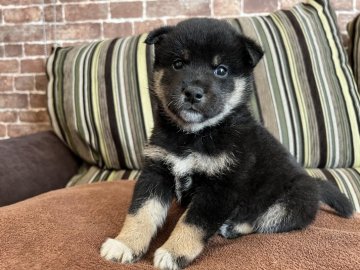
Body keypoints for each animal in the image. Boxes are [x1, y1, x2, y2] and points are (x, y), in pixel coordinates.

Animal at [100, 17, 352, 268]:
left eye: (221, 70)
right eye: (178, 64)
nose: (192, 92)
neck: (194, 135)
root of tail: (315, 185)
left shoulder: (221, 187)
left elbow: (192, 223)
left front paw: (174, 252)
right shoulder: (156, 172)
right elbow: (140, 212)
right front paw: (125, 244)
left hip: (289, 203)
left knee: (263, 220)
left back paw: (232, 226)